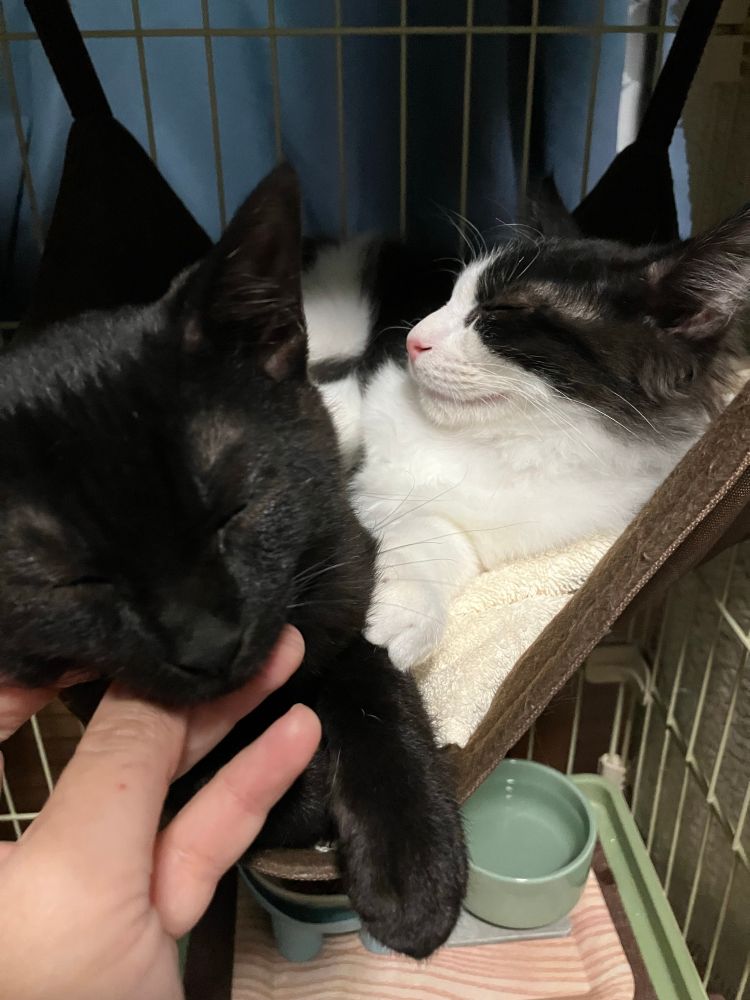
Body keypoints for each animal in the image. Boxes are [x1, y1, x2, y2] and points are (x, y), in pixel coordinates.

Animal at [0, 165, 467, 959]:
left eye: (237, 508)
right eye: (74, 580)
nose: (208, 643)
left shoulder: (344, 567)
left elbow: (377, 680)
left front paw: (414, 866)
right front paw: (308, 788)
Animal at [306, 205, 750, 671]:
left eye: (503, 309)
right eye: (447, 296)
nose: (413, 340)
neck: (510, 442)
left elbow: (442, 534)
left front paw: (407, 607)